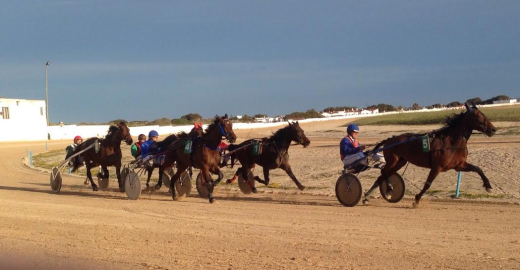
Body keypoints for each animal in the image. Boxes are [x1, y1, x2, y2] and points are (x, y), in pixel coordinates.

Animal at [364, 103, 498, 207]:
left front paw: (488, 186)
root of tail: (390, 139)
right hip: (392, 160)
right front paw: (416, 200)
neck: (451, 142)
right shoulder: (437, 167)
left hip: (400, 162)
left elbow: (478, 169)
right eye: (478, 116)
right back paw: (381, 191)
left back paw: (374, 194)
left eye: (483, 114)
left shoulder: (459, 165)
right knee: (384, 173)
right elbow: (428, 184)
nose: (493, 129)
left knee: (384, 174)